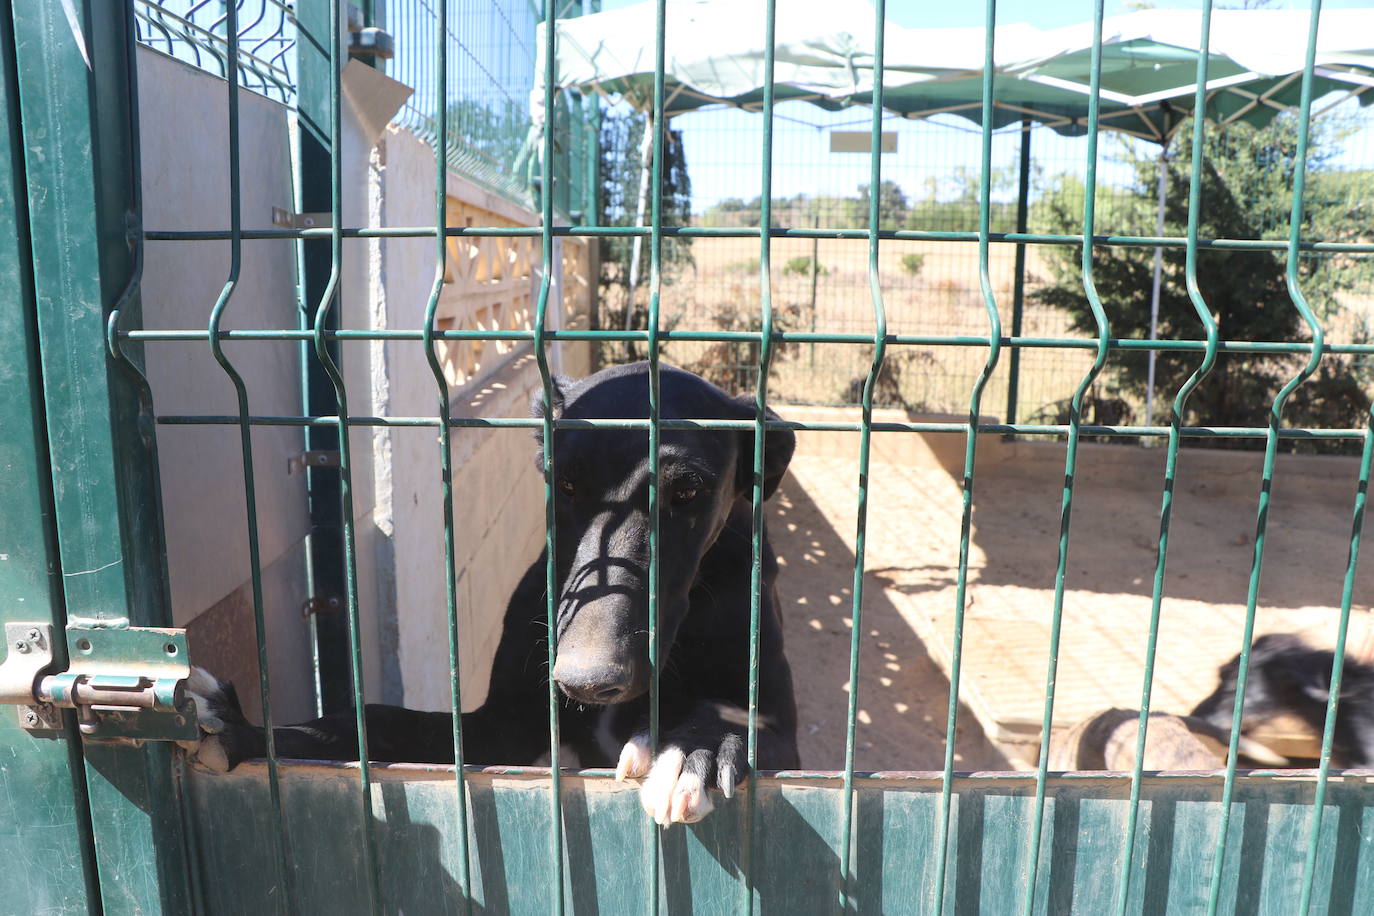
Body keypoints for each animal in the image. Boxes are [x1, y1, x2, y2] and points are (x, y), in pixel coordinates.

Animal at [190, 362, 802, 823]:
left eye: (688, 491)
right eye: (564, 482)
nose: (586, 681)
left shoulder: (787, 738)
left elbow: (743, 719)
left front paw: (694, 749)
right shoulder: (500, 728)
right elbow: (381, 718)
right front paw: (251, 730)